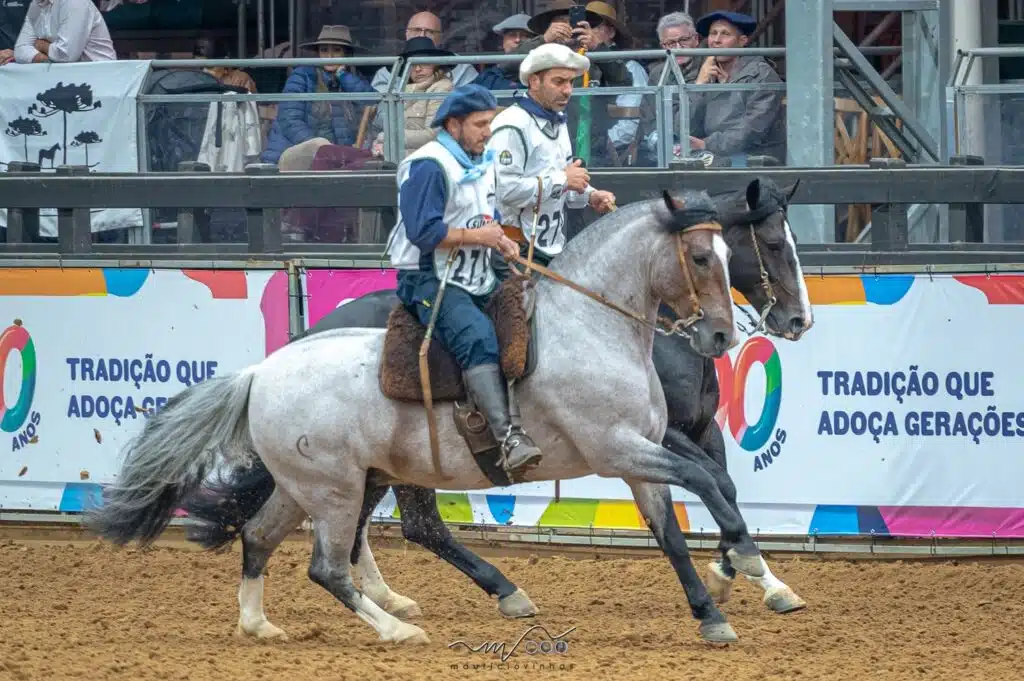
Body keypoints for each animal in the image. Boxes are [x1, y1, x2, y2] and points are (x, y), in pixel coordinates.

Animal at [85, 189, 765, 645]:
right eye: (701, 256)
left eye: (730, 251)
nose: (721, 335)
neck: (590, 328)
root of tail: (260, 374)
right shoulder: (617, 448)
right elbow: (706, 482)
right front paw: (748, 560)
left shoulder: (641, 457)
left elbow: (672, 531)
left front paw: (712, 611)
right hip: (334, 489)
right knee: (330, 564)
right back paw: (397, 629)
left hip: (311, 485)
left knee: (259, 537)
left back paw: (259, 625)